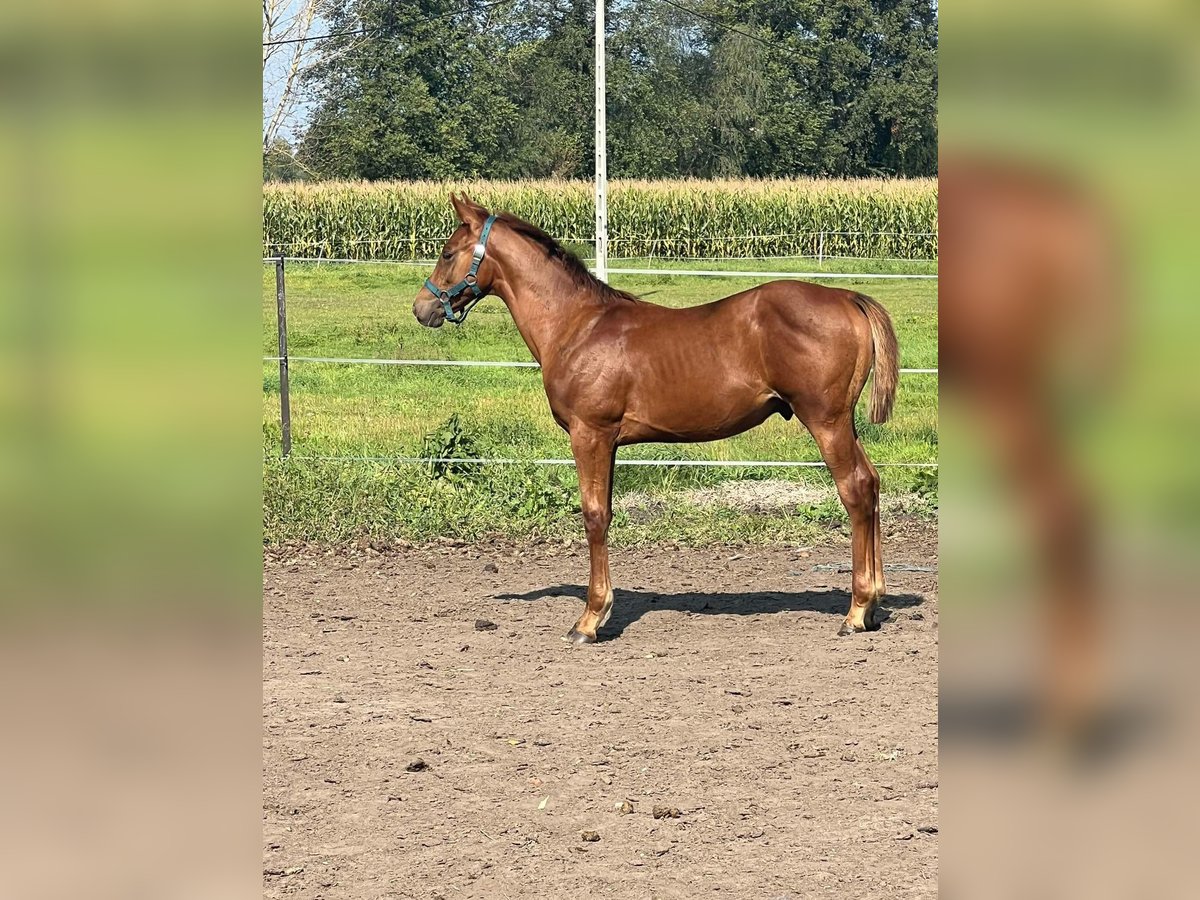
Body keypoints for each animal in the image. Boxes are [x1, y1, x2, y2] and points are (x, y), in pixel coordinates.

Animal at [417, 194, 897, 643]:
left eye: (447, 252)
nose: (423, 308)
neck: (577, 325)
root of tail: (848, 297)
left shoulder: (589, 434)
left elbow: (594, 516)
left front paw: (590, 619)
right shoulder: (608, 442)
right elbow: (607, 512)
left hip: (826, 421)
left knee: (855, 489)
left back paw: (856, 611)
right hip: (844, 423)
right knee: (872, 483)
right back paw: (873, 605)